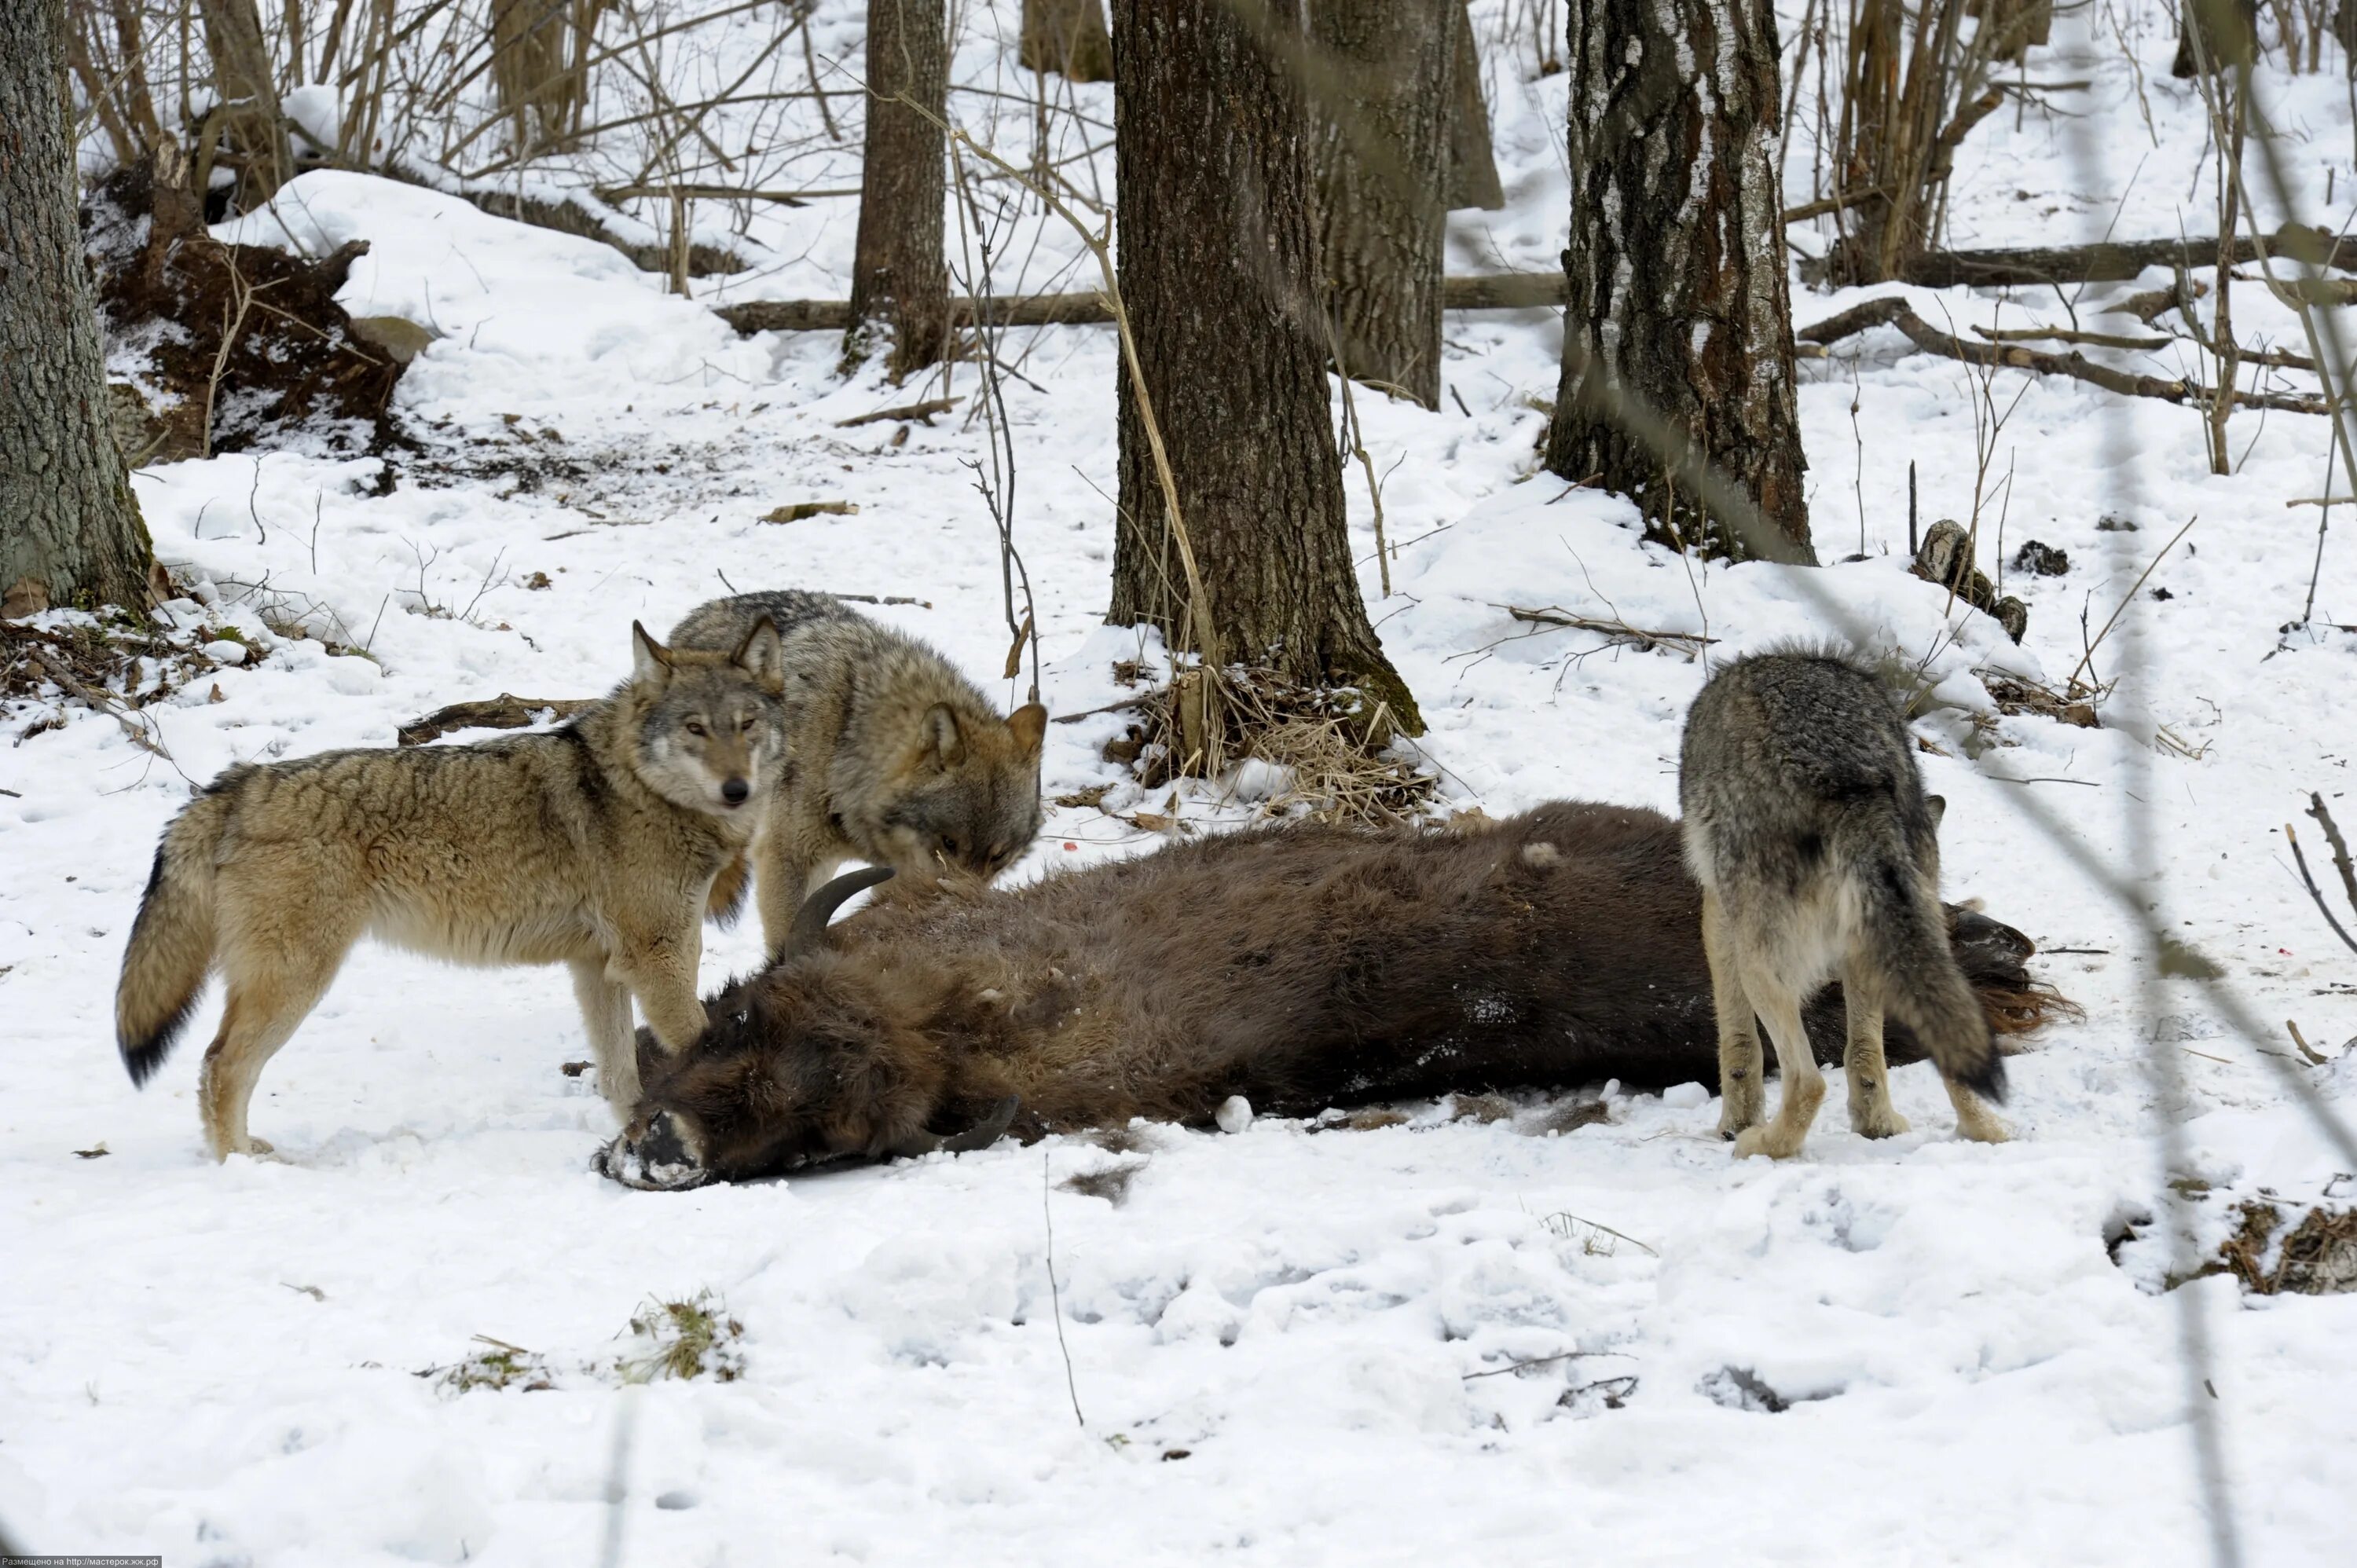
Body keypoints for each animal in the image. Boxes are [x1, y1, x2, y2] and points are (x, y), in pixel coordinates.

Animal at [115, 617, 792, 1155]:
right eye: (696, 729)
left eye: (746, 724)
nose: (738, 790)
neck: (633, 786)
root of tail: (236, 784)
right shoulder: (659, 958)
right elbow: (698, 1045)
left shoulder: (597, 967)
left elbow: (620, 1074)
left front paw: (635, 1136)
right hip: (296, 981)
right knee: (221, 1067)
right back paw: (240, 1162)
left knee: (216, 1066)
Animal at [669, 587, 1047, 952]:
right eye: (949, 843)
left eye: (998, 857)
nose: (965, 906)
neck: (845, 740)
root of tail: (705, 610)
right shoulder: (784, 858)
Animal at [1678, 641, 2008, 1155]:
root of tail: (1850, 773)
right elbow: (1865, 1051)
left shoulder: (1716, 913)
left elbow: (1737, 1040)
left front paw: (1734, 1122)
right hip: (1910, 944)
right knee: (1902, 1054)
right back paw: (1958, 1130)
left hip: (1763, 965)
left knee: (1808, 1082)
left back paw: (1761, 1144)